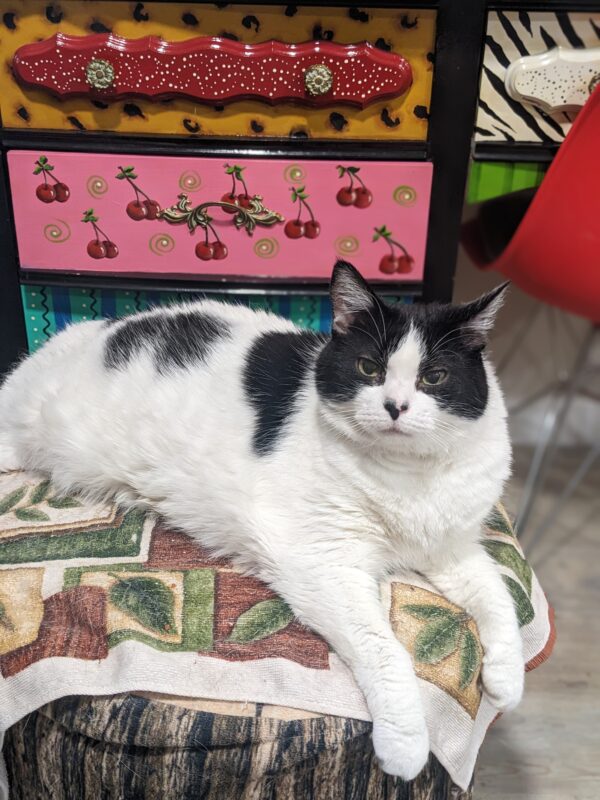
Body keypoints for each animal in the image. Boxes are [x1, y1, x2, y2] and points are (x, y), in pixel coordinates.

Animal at [0, 264, 520, 780]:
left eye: (434, 376)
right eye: (369, 368)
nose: (396, 406)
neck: (408, 478)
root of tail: (80, 334)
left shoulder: (452, 549)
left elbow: (499, 595)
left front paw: (507, 677)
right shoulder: (323, 565)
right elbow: (384, 647)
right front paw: (406, 743)